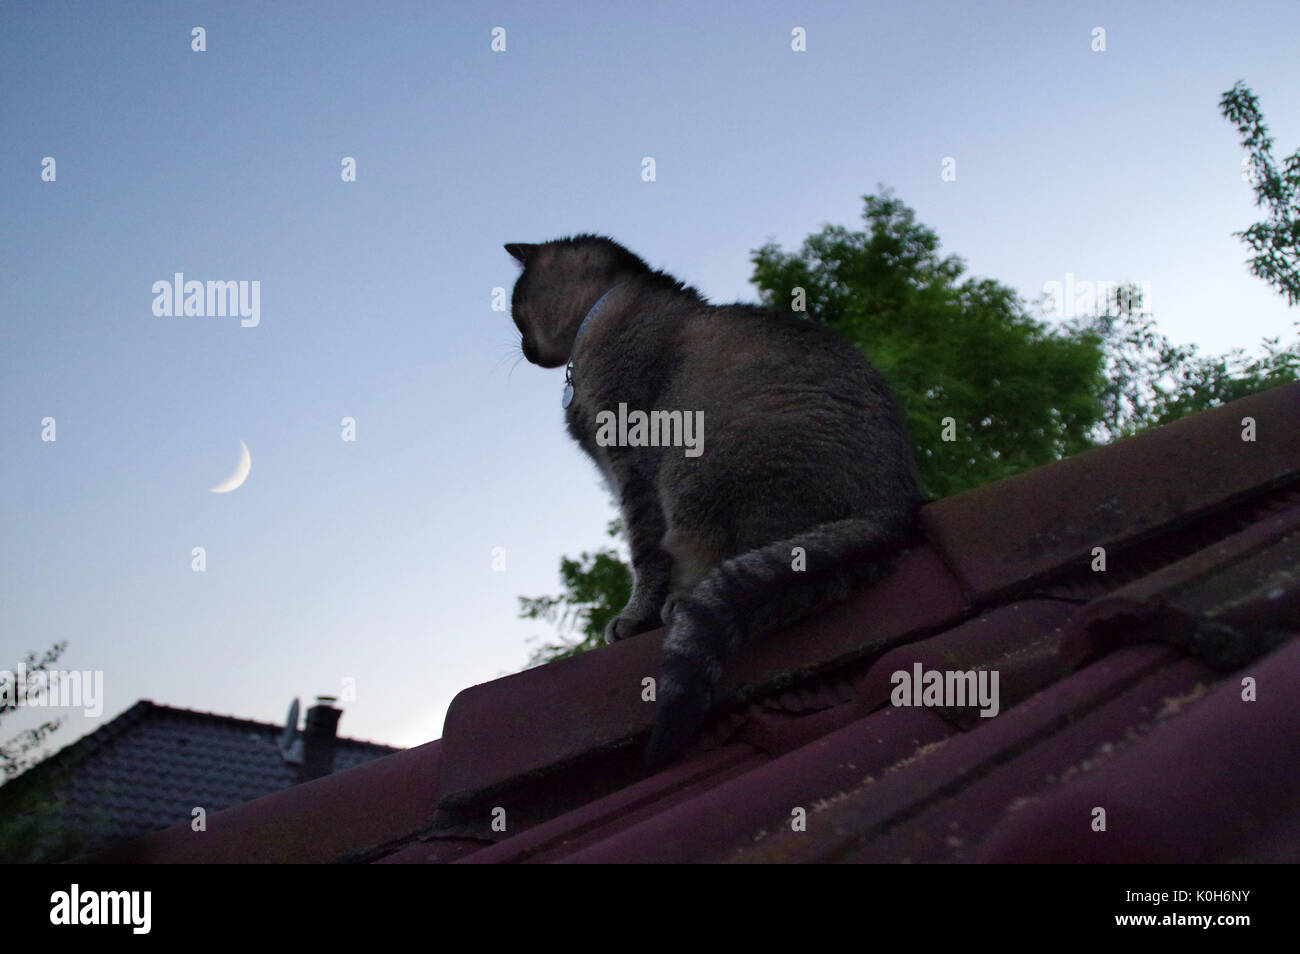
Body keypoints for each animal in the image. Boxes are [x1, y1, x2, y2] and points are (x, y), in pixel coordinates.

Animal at [501, 235, 920, 764]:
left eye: (515, 309)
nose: (524, 349)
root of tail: (896, 506)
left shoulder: (632, 466)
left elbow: (645, 555)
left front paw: (632, 618)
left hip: (696, 467)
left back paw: (680, 602)